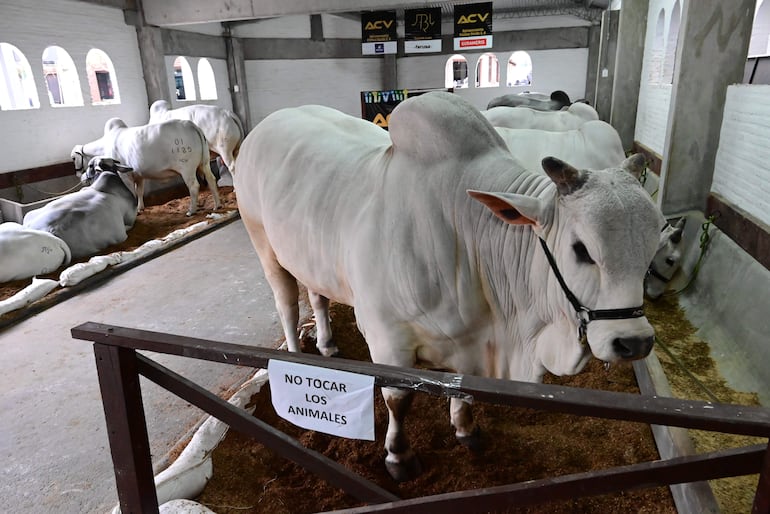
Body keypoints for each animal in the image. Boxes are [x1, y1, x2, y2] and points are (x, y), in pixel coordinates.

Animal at [70, 117, 219, 215]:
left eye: (73, 158)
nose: (79, 176)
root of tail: (192, 125)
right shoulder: (139, 176)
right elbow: (140, 191)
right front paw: (140, 208)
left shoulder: (125, 175)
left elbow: (132, 192)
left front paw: (135, 211)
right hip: (204, 163)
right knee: (211, 180)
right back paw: (217, 205)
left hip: (187, 168)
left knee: (194, 186)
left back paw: (191, 211)